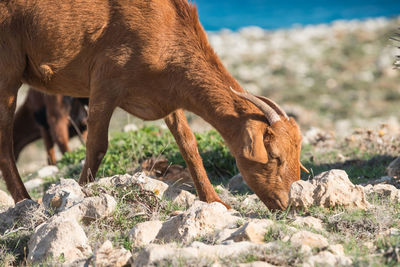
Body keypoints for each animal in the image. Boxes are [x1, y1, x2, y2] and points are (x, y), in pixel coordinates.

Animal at [0, 0, 306, 209]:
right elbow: (97, 145)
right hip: (8, 75)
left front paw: (215, 201)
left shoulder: (169, 98)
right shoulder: (104, 84)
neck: (165, 25)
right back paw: (24, 200)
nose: (287, 204)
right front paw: (82, 192)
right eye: (275, 157)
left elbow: (189, 145)